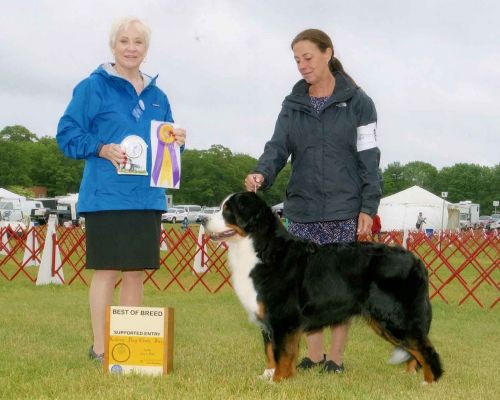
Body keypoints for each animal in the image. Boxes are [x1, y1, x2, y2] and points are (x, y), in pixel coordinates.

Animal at [203, 192, 442, 382]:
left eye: (227, 210)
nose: (202, 219)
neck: (261, 249)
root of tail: (416, 261)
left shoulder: (282, 318)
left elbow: (282, 353)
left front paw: (278, 380)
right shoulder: (267, 318)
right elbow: (270, 351)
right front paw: (267, 376)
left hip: (394, 316)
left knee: (425, 348)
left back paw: (429, 383)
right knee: (415, 349)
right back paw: (410, 377)